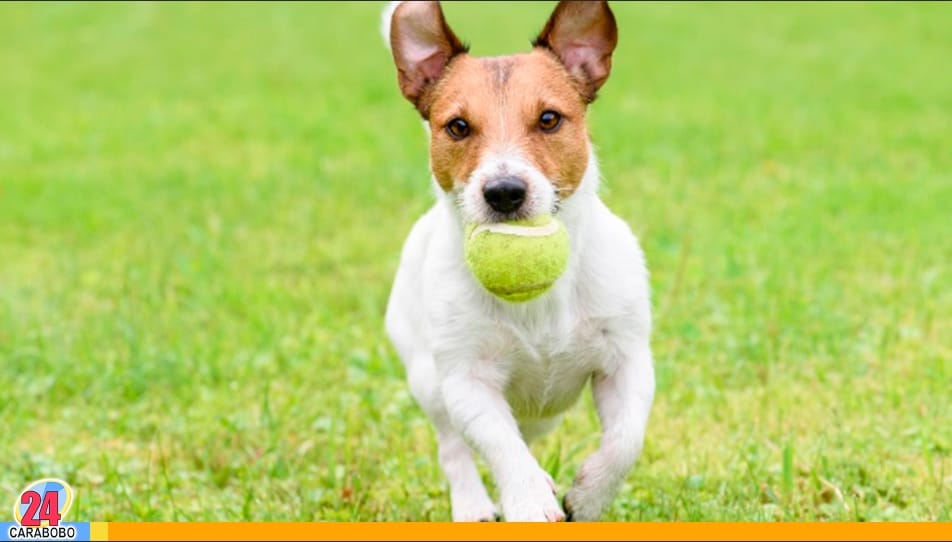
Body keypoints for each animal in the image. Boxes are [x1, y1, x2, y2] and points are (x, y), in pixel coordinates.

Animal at [380, 0, 656, 524]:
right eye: (458, 127)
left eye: (549, 119)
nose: (504, 192)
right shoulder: (466, 380)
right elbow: (498, 444)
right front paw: (528, 499)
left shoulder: (626, 359)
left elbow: (626, 439)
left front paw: (588, 496)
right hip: (427, 379)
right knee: (456, 445)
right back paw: (473, 505)